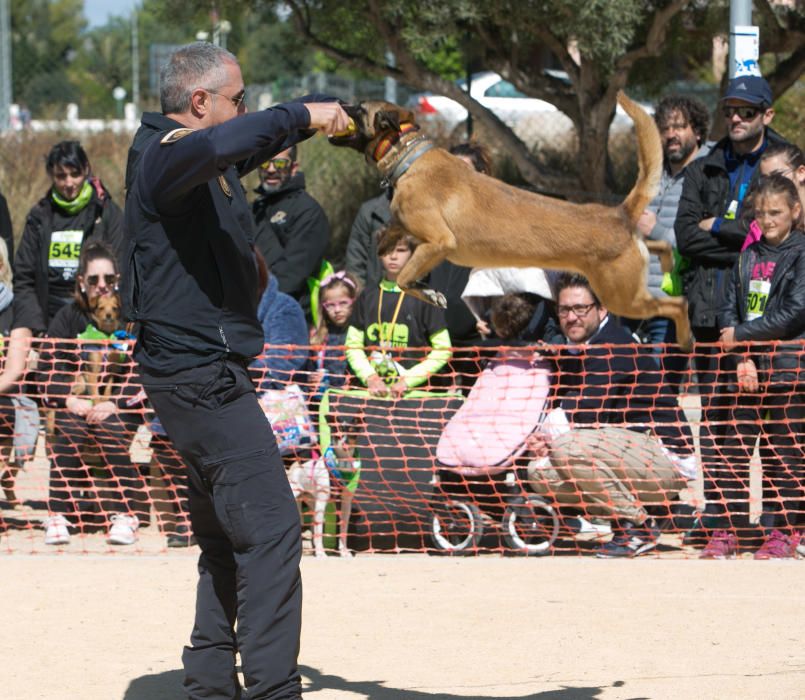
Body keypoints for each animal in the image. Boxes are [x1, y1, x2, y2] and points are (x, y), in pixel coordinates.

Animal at [328, 93, 692, 350]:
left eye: (358, 108)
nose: (335, 105)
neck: (407, 155)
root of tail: (619, 213)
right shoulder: (407, 227)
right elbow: (388, 232)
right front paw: (386, 244)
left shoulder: (440, 242)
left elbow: (405, 278)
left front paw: (429, 293)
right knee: (658, 246)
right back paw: (667, 259)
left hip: (623, 297)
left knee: (678, 304)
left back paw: (686, 339)